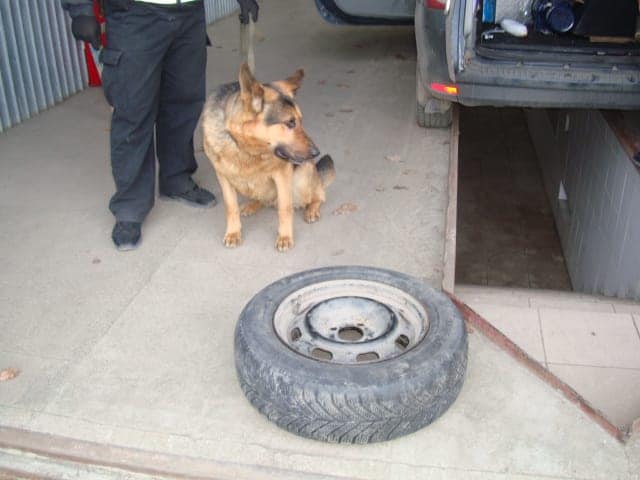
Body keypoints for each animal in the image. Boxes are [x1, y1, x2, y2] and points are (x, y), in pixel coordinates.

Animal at [202, 63, 336, 251]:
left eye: (300, 121)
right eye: (290, 122)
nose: (316, 152)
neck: (247, 149)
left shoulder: (283, 174)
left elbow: (285, 209)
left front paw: (285, 236)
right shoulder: (223, 176)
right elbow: (230, 207)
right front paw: (233, 232)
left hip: (302, 176)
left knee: (318, 195)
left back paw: (312, 209)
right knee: (262, 199)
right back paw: (252, 205)